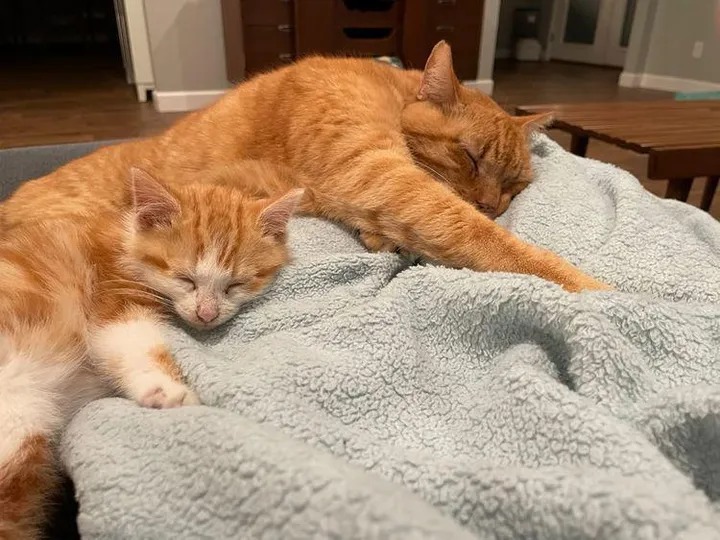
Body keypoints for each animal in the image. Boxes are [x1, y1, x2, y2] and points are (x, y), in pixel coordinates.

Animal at [0, 41, 612, 296]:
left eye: (513, 187)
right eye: (471, 157)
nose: (491, 204)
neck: (390, 91)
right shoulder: (377, 172)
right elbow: (490, 242)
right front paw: (598, 291)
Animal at [0, 170, 302, 540]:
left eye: (235, 285)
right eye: (186, 279)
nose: (207, 314)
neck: (127, 243)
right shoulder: (113, 294)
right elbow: (132, 341)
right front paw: (170, 391)